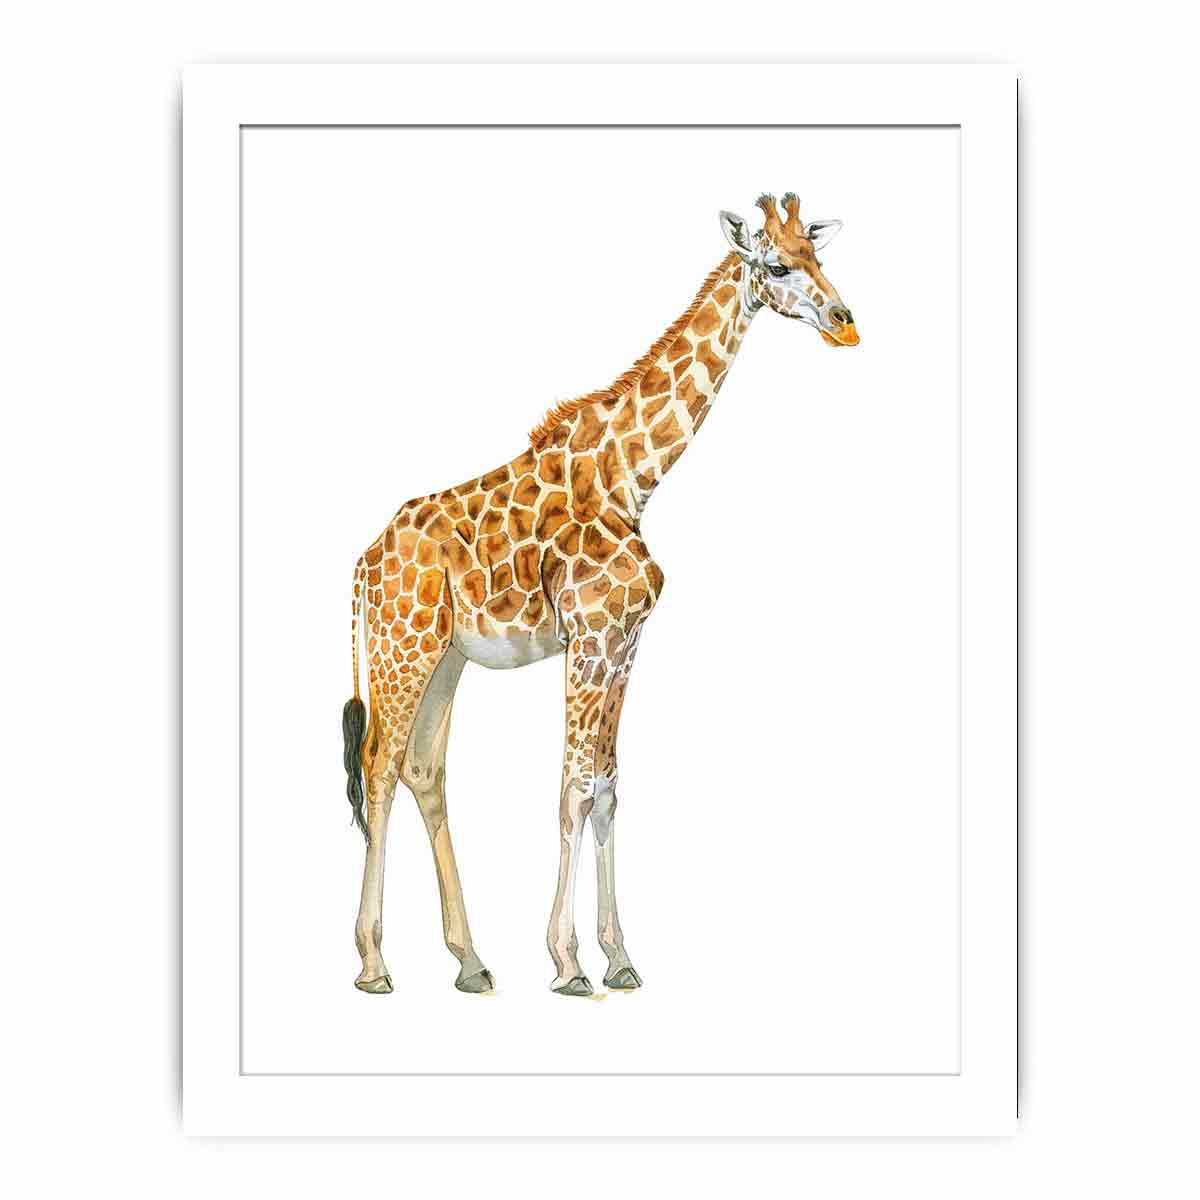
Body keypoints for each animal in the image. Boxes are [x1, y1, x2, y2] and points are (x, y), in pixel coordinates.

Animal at [342, 193, 859, 997]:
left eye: (818, 255)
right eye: (776, 265)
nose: (844, 321)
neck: (634, 476)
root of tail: (363, 566)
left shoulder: (623, 642)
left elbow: (610, 786)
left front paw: (618, 958)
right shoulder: (587, 637)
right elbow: (575, 786)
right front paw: (567, 962)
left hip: (445, 657)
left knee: (421, 768)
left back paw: (471, 962)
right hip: (403, 649)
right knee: (376, 766)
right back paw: (373, 964)